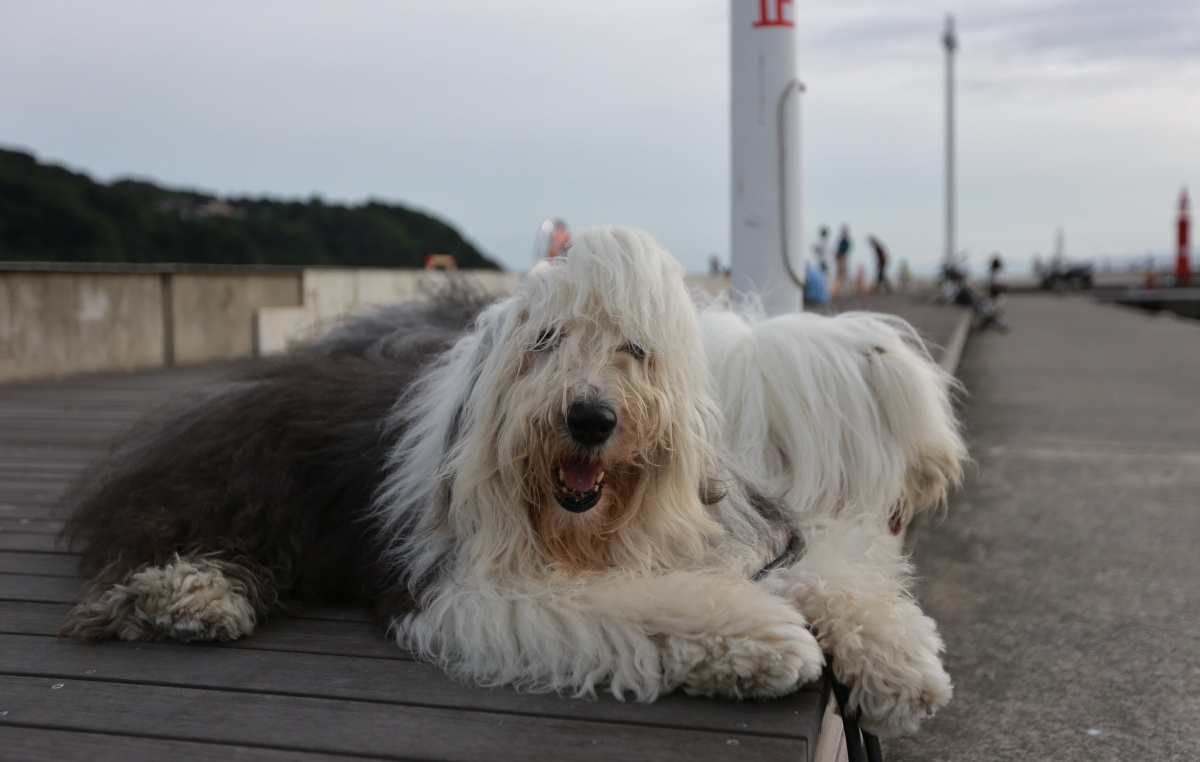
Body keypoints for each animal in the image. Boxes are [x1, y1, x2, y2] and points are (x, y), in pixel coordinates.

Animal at [59, 225, 964, 738]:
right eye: (547, 340)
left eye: (635, 349)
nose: (590, 417)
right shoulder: (478, 588)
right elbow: (634, 605)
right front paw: (764, 643)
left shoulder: (755, 524)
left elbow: (832, 567)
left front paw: (902, 670)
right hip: (248, 489)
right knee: (152, 549)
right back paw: (193, 599)